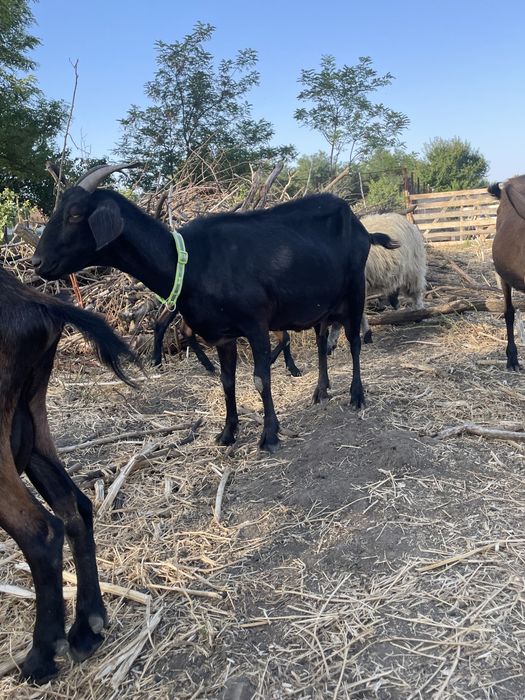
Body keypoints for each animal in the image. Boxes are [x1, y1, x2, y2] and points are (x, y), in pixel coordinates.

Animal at [0, 265, 136, 683]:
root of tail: (33, 303)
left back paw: (41, 656)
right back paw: (87, 628)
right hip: (32, 423)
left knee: (41, 533)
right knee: (76, 508)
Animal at [328, 212, 426, 351]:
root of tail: (402, 218)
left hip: (413, 269)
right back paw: (396, 306)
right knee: (394, 288)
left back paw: (418, 313)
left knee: (416, 293)